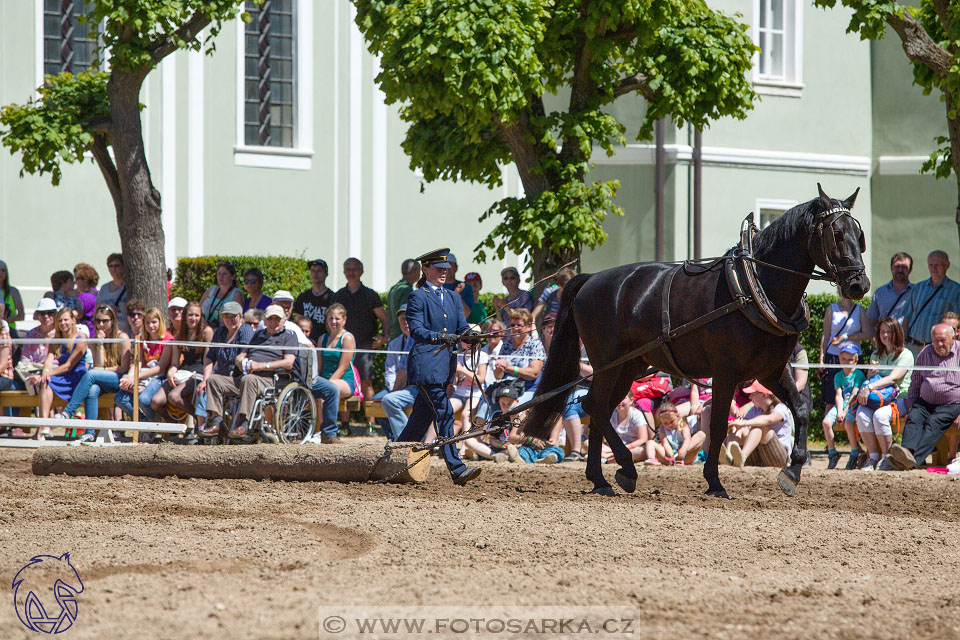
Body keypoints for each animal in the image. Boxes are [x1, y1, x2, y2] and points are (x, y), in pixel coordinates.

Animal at [524, 182, 872, 498]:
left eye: (859, 235)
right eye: (836, 233)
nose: (859, 285)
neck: (753, 287)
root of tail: (590, 280)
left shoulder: (770, 371)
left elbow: (799, 409)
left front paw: (792, 471)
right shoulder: (725, 372)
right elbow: (716, 425)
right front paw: (715, 483)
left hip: (627, 367)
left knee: (597, 409)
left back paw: (601, 479)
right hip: (608, 364)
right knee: (594, 406)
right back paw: (624, 468)